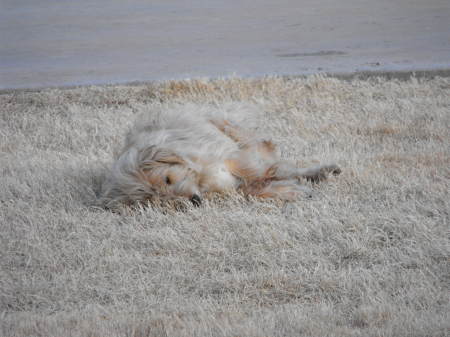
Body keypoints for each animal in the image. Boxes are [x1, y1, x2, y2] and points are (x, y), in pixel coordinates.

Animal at [100, 105, 342, 207]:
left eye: (167, 179)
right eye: (158, 200)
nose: (194, 201)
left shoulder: (228, 155)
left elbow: (258, 172)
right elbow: (249, 189)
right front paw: (285, 190)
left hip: (228, 127)